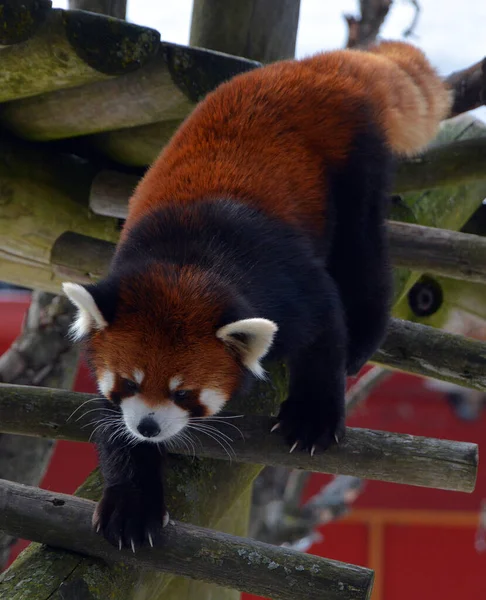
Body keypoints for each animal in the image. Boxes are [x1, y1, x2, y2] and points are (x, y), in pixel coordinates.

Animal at [62, 39, 450, 552]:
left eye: (183, 392)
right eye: (128, 382)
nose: (148, 426)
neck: (187, 260)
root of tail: (315, 66)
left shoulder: (287, 282)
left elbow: (324, 329)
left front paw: (312, 416)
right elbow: (112, 427)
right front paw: (131, 502)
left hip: (354, 163)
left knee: (362, 256)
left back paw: (364, 334)